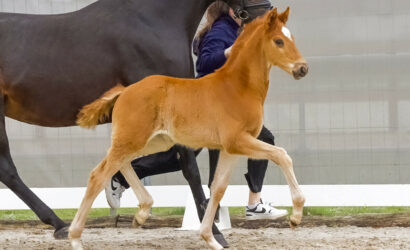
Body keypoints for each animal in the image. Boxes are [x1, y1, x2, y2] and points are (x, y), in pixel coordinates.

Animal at [0, 0, 272, 244]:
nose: (265, 15)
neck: (152, 20)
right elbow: (190, 169)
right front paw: (215, 233)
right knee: (8, 170)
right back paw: (60, 224)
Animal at [71, 7, 308, 250]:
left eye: (291, 38)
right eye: (278, 41)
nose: (302, 68)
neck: (238, 87)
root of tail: (124, 91)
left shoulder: (231, 148)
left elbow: (218, 188)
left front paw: (210, 238)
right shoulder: (238, 141)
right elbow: (282, 155)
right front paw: (295, 217)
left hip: (150, 142)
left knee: (120, 164)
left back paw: (142, 212)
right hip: (133, 139)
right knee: (98, 174)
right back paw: (75, 238)